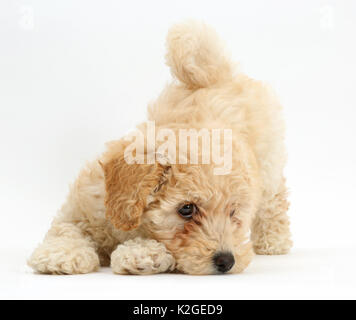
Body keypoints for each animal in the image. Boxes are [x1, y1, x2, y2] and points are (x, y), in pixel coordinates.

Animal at [28, 21, 292, 276]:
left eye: (232, 212)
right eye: (186, 209)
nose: (227, 261)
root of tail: (217, 75)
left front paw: (139, 253)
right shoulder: (81, 208)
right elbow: (65, 229)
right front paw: (60, 254)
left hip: (268, 161)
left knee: (274, 199)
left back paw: (273, 241)